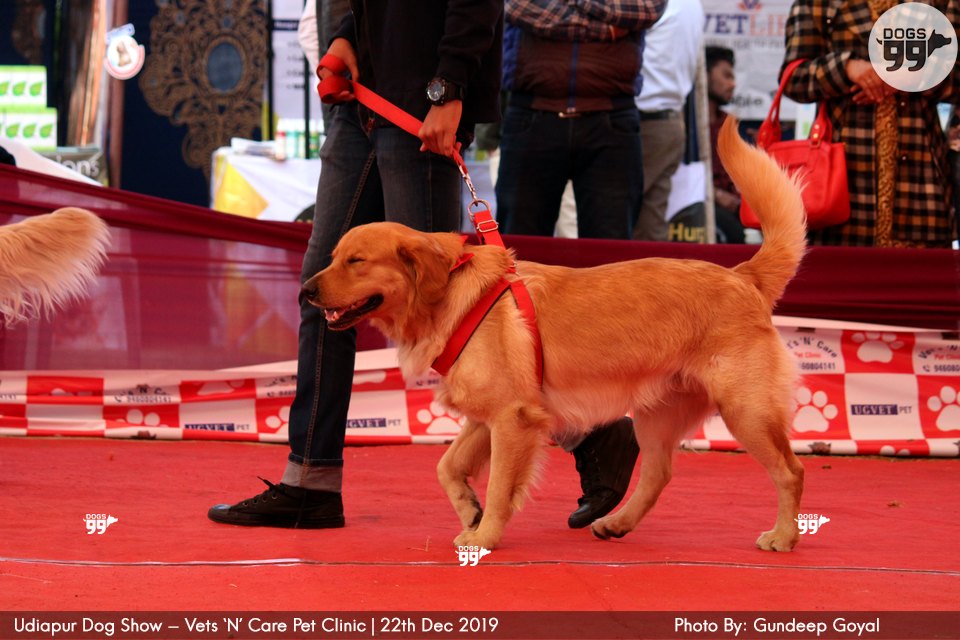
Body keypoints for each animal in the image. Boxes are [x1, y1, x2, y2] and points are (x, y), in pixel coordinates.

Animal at [302, 118, 807, 552]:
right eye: (334, 256)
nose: (305, 290)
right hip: (658, 416)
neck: (450, 292)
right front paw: (469, 510)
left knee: (791, 471)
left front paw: (486, 535)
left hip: (746, 410)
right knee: (657, 475)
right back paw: (616, 523)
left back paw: (783, 536)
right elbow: (447, 466)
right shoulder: (487, 418)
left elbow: (500, 487)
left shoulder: (513, 419)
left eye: (356, 261)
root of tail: (743, 275)